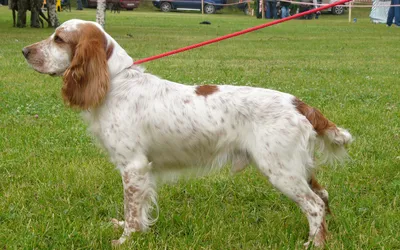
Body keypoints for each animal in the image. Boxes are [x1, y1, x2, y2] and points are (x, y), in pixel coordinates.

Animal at [22, 18, 354, 247]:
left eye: (58, 38)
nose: (24, 51)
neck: (116, 82)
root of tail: (299, 104)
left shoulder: (133, 166)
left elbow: (132, 211)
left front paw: (125, 240)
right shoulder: (140, 171)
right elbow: (138, 210)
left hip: (281, 169)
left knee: (313, 205)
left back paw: (313, 243)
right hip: (297, 167)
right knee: (323, 196)